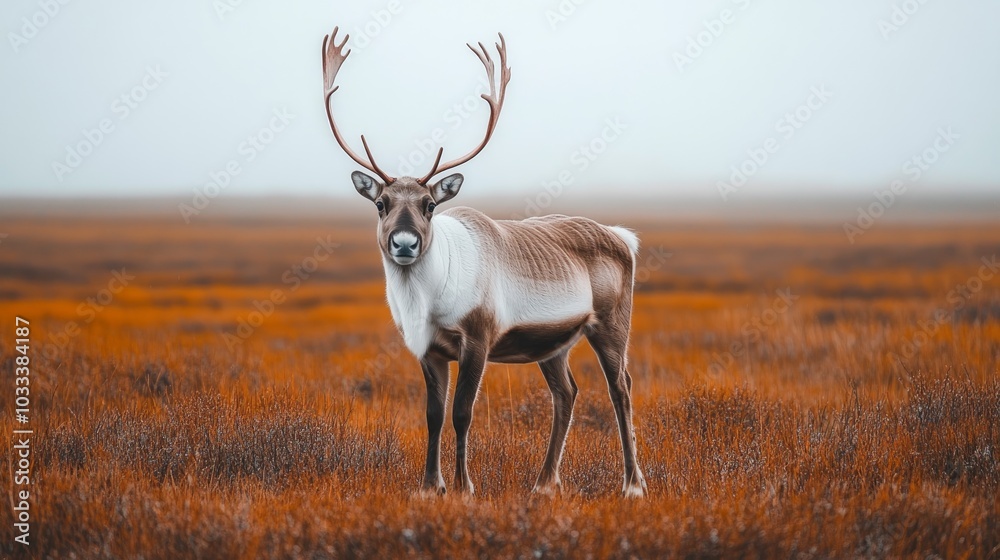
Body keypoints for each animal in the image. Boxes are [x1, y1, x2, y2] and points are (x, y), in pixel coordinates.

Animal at [321, 27, 647, 498]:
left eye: (430, 204)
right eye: (381, 204)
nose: (405, 243)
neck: (427, 301)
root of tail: (623, 237)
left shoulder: (477, 340)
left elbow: (462, 413)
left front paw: (463, 487)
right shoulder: (429, 350)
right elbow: (433, 415)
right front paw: (429, 486)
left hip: (610, 326)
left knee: (621, 387)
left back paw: (633, 485)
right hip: (553, 343)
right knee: (566, 393)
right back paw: (544, 483)